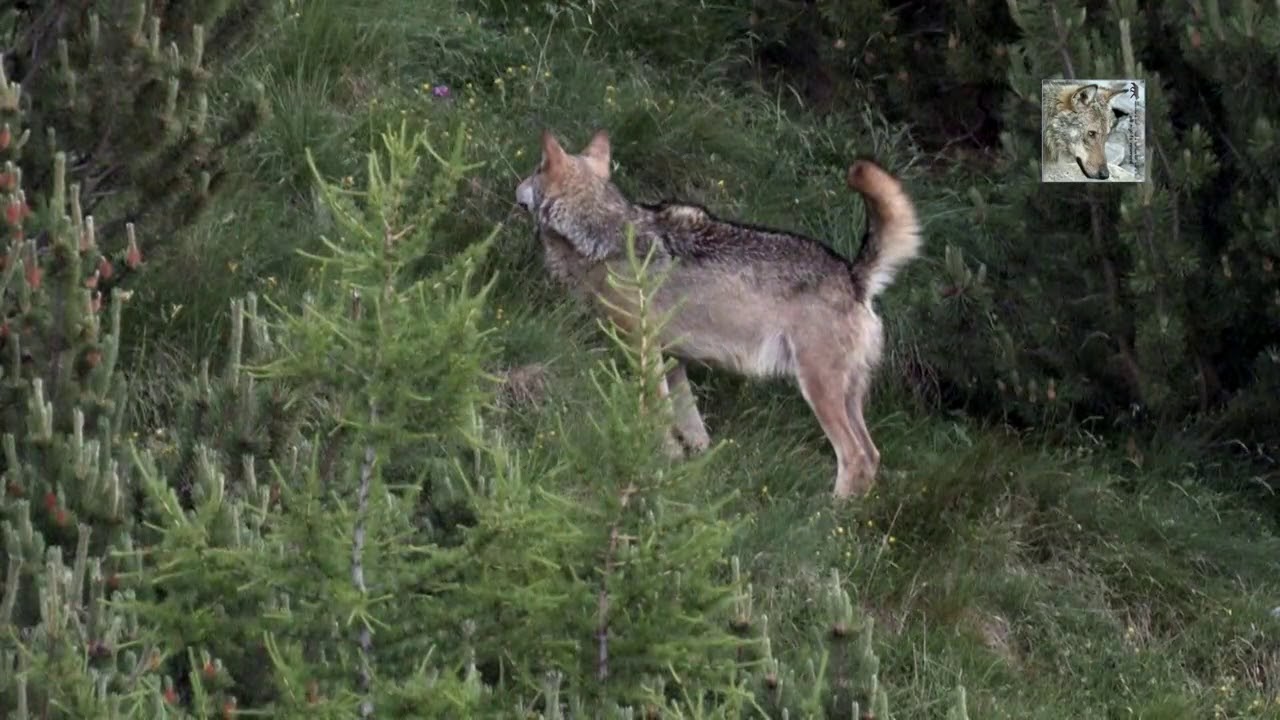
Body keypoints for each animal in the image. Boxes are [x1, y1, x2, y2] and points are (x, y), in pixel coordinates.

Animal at [509, 128, 921, 497]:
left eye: (534, 168)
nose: (516, 187)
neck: (602, 233)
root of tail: (854, 277)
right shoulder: (671, 358)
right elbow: (691, 427)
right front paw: (686, 465)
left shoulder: (643, 347)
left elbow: (655, 413)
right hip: (848, 397)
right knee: (872, 454)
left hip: (818, 390)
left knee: (855, 457)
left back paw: (828, 514)